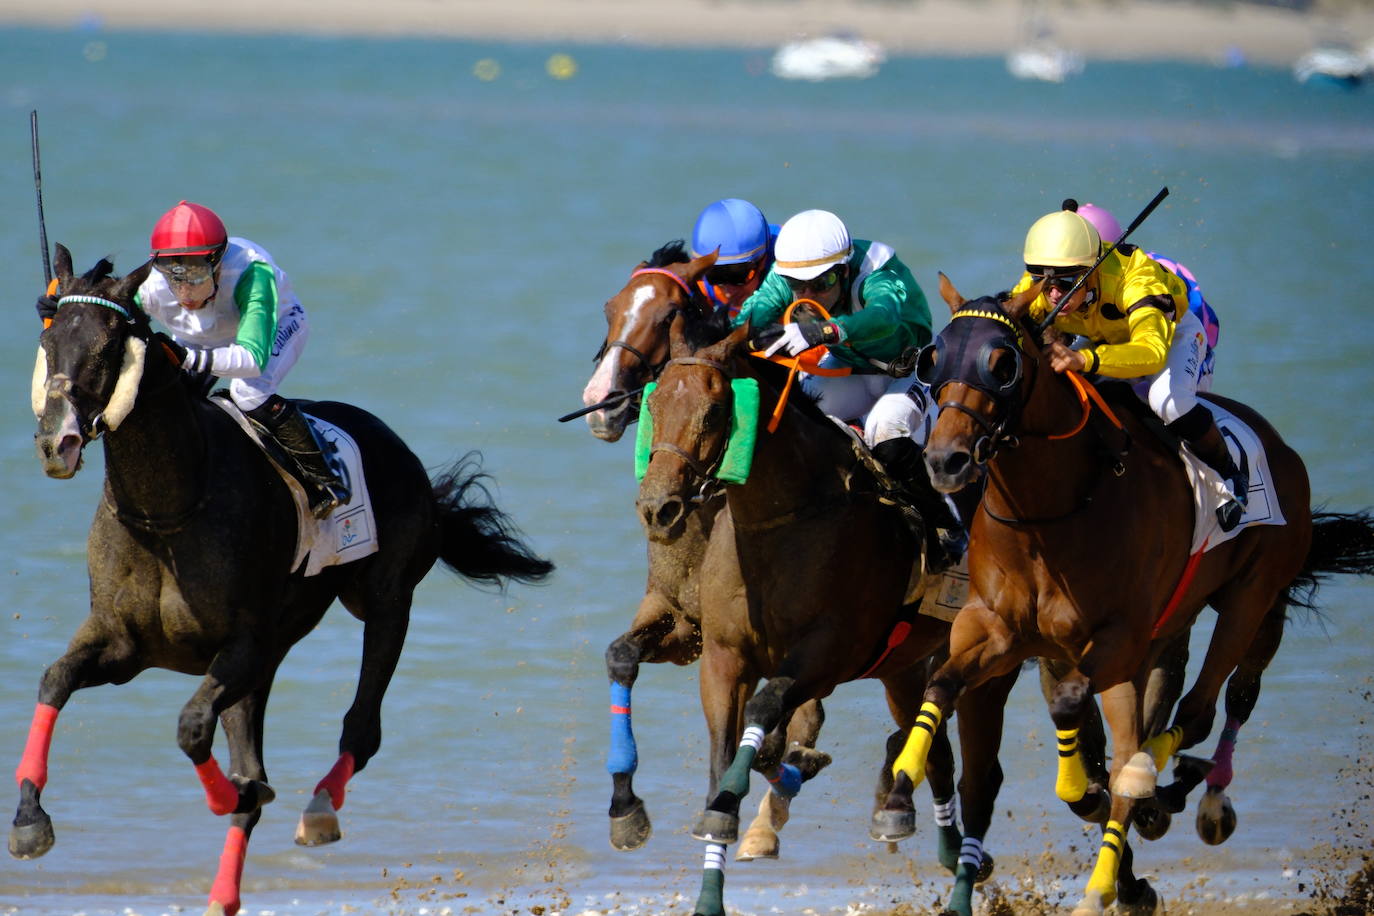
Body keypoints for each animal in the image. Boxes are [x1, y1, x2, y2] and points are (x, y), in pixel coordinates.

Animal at [14, 245, 552, 916]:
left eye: (110, 343)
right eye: (49, 336)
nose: (55, 442)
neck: (169, 511)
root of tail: (405, 455)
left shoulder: (242, 646)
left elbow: (192, 729)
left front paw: (230, 794)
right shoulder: (122, 644)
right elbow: (54, 680)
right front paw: (29, 820)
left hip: (384, 602)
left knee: (361, 727)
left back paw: (318, 807)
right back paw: (223, 892)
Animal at [879, 276, 1374, 916]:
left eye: (1002, 363)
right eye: (933, 358)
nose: (945, 460)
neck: (1053, 507)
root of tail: (1278, 446)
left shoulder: (1117, 636)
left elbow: (1073, 708)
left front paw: (1102, 789)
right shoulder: (994, 629)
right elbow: (942, 685)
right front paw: (903, 778)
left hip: (1253, 595)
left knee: (1204, 708)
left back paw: (1159, 808)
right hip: (1186, 623)